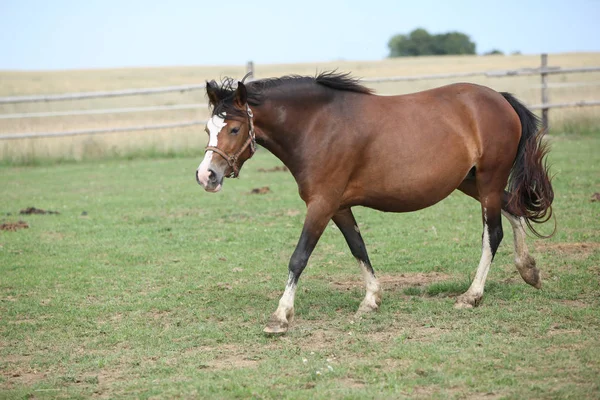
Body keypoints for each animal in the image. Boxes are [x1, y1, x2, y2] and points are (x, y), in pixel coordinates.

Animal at [196, 72, 552, 334]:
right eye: (208, 128)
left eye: (234, 128)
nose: (206, 176)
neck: (317, 126)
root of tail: (499, 98)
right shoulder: (338, 207)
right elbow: (358, 248)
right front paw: (371, 300)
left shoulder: (321, 204)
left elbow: (299, 258)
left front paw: (281, 316)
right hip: (471, 182)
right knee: (514, 210)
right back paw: (529, 270)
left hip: (489, 181)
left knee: (493, 233)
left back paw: (472, 296)